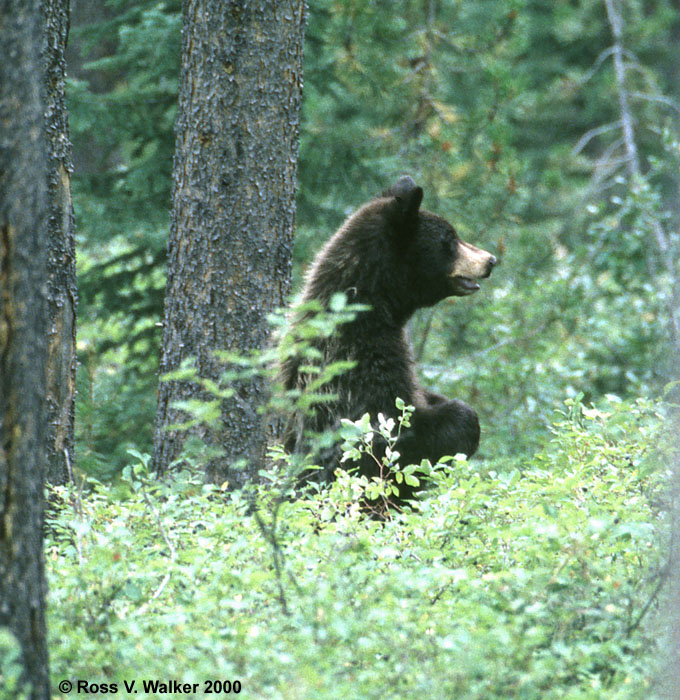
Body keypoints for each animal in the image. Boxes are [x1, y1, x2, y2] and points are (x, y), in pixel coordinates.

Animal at [278, 175, 496, 504]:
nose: (490, 260)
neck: (373, 309)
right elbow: (395, 435)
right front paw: (465, 418)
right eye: (450, 239)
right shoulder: (359, 365)